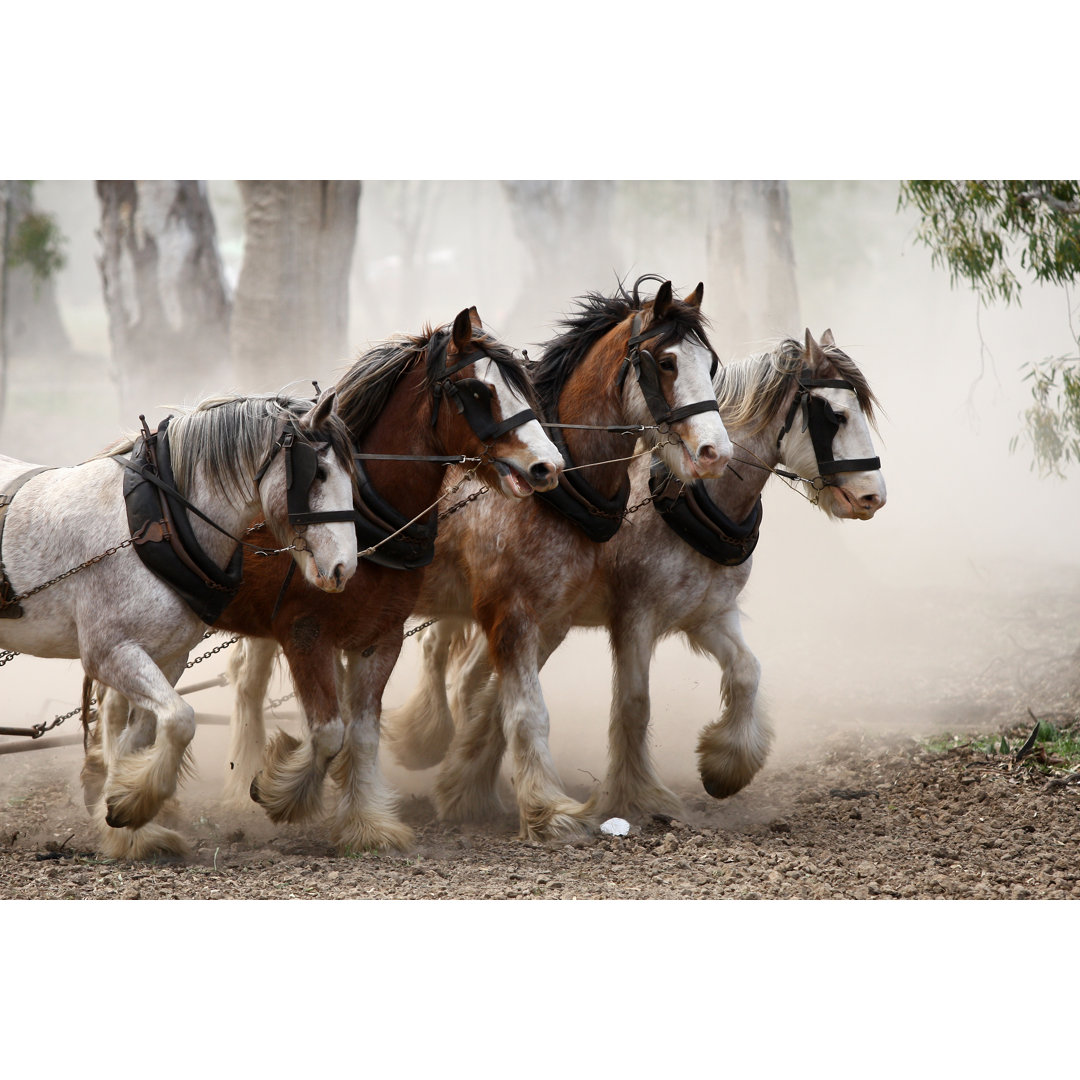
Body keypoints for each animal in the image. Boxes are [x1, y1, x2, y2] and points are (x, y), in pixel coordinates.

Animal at [2, 393, 360, 855]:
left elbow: (139, 738)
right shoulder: (109, 654)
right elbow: (181, 720)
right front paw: (133, 806)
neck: (155, 524)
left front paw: (126, 813)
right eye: (317, 472)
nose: (345, 567)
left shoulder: (168, 657)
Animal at [87, 308, 561, 855]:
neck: (365, 514)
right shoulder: (305, 634)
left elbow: (362, 732)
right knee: (121, 708)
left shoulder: (381, 637)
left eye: (521, 384)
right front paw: (281, 793)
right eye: (478, 391)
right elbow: (328, 730)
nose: (549, 465)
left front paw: (366, 823)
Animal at [397, 326, 885, 816]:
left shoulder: (709, 613)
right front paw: (636, 797)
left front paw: (725, 767)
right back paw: (425, 740)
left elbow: (747, 671)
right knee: (436, 651)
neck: (684, 499)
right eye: (836, 415)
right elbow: (634, 702)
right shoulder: (633, 616)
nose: (873, 497)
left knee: (469, 678)